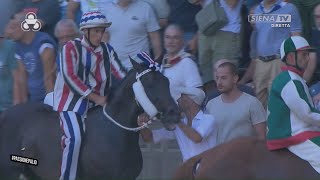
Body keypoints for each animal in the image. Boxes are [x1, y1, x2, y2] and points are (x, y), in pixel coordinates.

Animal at [0, 58, 180, 179]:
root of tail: (4, 114)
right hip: (9, 171)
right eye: (149, 81)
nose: (174, 114)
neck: (115, 131)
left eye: (166, 81)